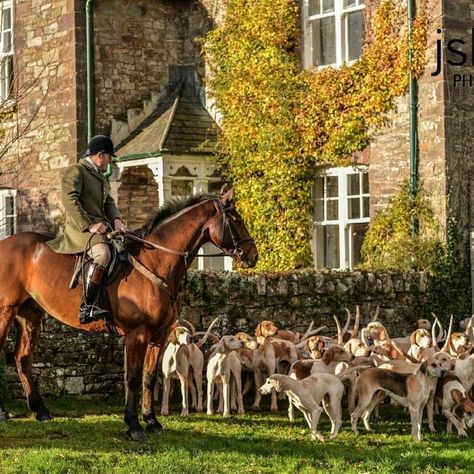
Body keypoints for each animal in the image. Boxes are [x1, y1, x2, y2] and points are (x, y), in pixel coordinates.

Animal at [0, 186, 258, 440]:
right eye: (236, 219)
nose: (253, 255)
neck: (156, 261)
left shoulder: (158, 336)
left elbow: (149, 377)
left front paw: (151, 421)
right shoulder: (138, 333)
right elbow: (132, 378)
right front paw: (134, 425)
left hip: (30, 315)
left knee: (23, 358)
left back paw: (40, 410)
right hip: (5, 311)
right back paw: (4, 413)